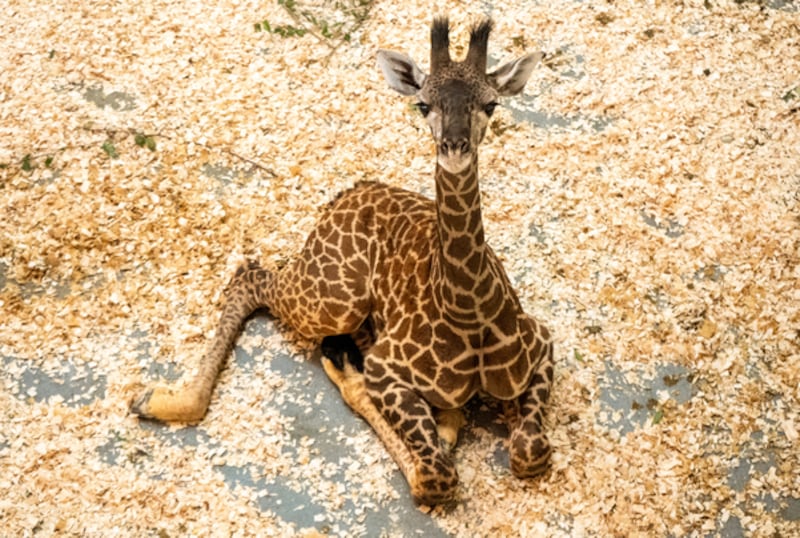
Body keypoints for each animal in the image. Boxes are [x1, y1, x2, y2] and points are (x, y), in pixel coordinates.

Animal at [131, 16, 554, 506]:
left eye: (491, 104)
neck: (469, 308)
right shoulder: (389, 370)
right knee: (252, 278)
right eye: (423, 104)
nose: (454, 147)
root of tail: (343, 196)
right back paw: (159, 401)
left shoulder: (542, 343)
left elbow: (530, 452)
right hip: (336, 299)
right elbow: (435, 479)